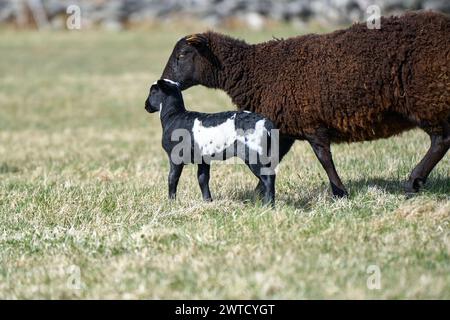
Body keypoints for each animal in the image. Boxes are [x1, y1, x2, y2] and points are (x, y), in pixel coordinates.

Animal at [160, 11, 448, 198]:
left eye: (182, 54)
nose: (164, 82)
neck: (255, 70)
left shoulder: (310, 121)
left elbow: (323, 158)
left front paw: (340, 192)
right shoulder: (284, 125)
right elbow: (273, 158)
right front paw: (259, 193)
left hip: (427, 98)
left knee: (440, 140)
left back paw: (413, 181)